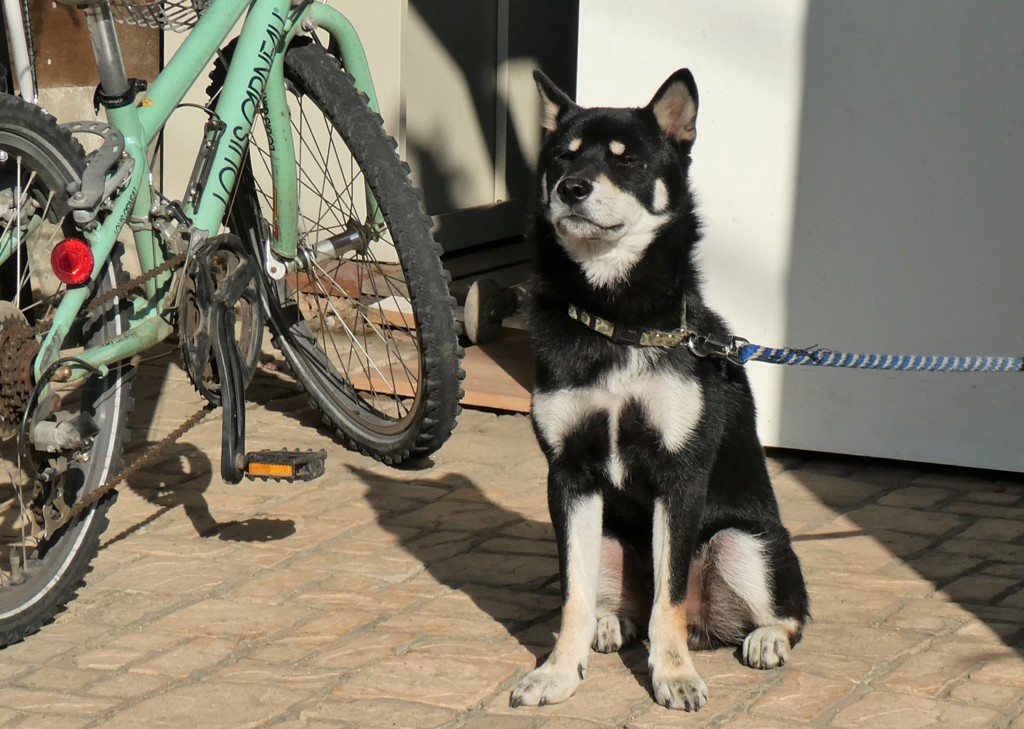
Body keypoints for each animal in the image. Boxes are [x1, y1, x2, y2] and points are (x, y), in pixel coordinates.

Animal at [509, 69, 806, 712]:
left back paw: (766, 638)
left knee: (786, 613)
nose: (571, 189)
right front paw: (556, 673)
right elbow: (570, 597)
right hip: (611, 537)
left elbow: (666, 602)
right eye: (562, 156)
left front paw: (673, 677)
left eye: (628, 161)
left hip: (744, 541)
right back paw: (609, 624)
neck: (618, 319)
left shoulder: (680, 475)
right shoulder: (569, 476)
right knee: (622, 606)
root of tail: (706, 624)